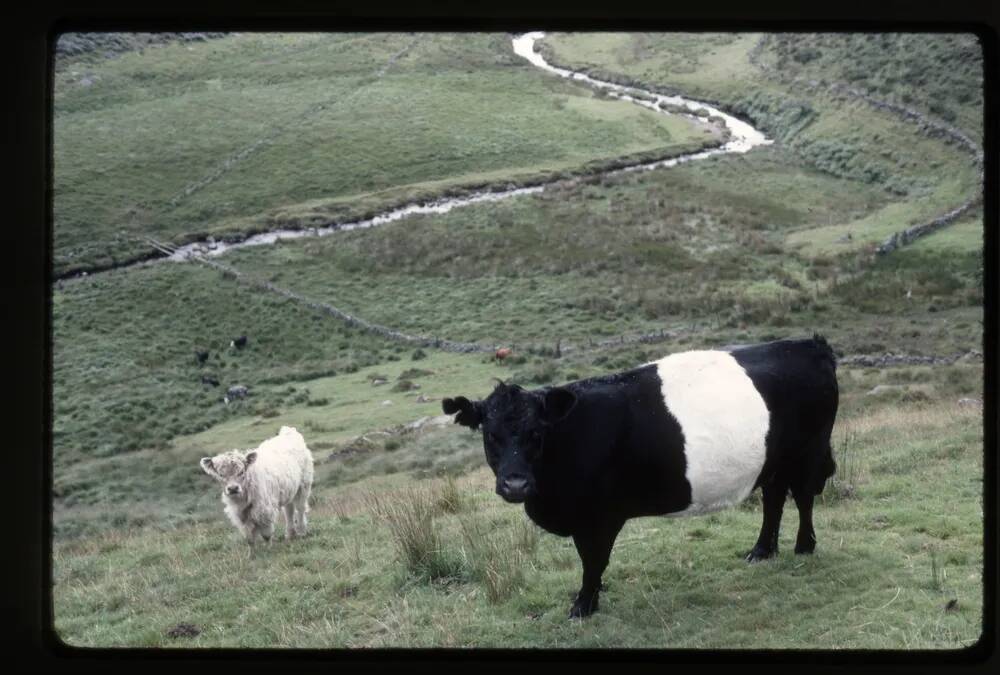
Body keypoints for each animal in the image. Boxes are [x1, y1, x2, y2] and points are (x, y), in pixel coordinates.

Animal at [442, 336, 840, 620]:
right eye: (489, 434)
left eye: (536, 433)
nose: (515, 485)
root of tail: (809, 342)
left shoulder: (598, 517)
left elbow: (593, 561)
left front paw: (584, 604)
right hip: (773, 461)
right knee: (774, 499)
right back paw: (761, 551)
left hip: (809, 451)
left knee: (803, 497)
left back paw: (804, 546)